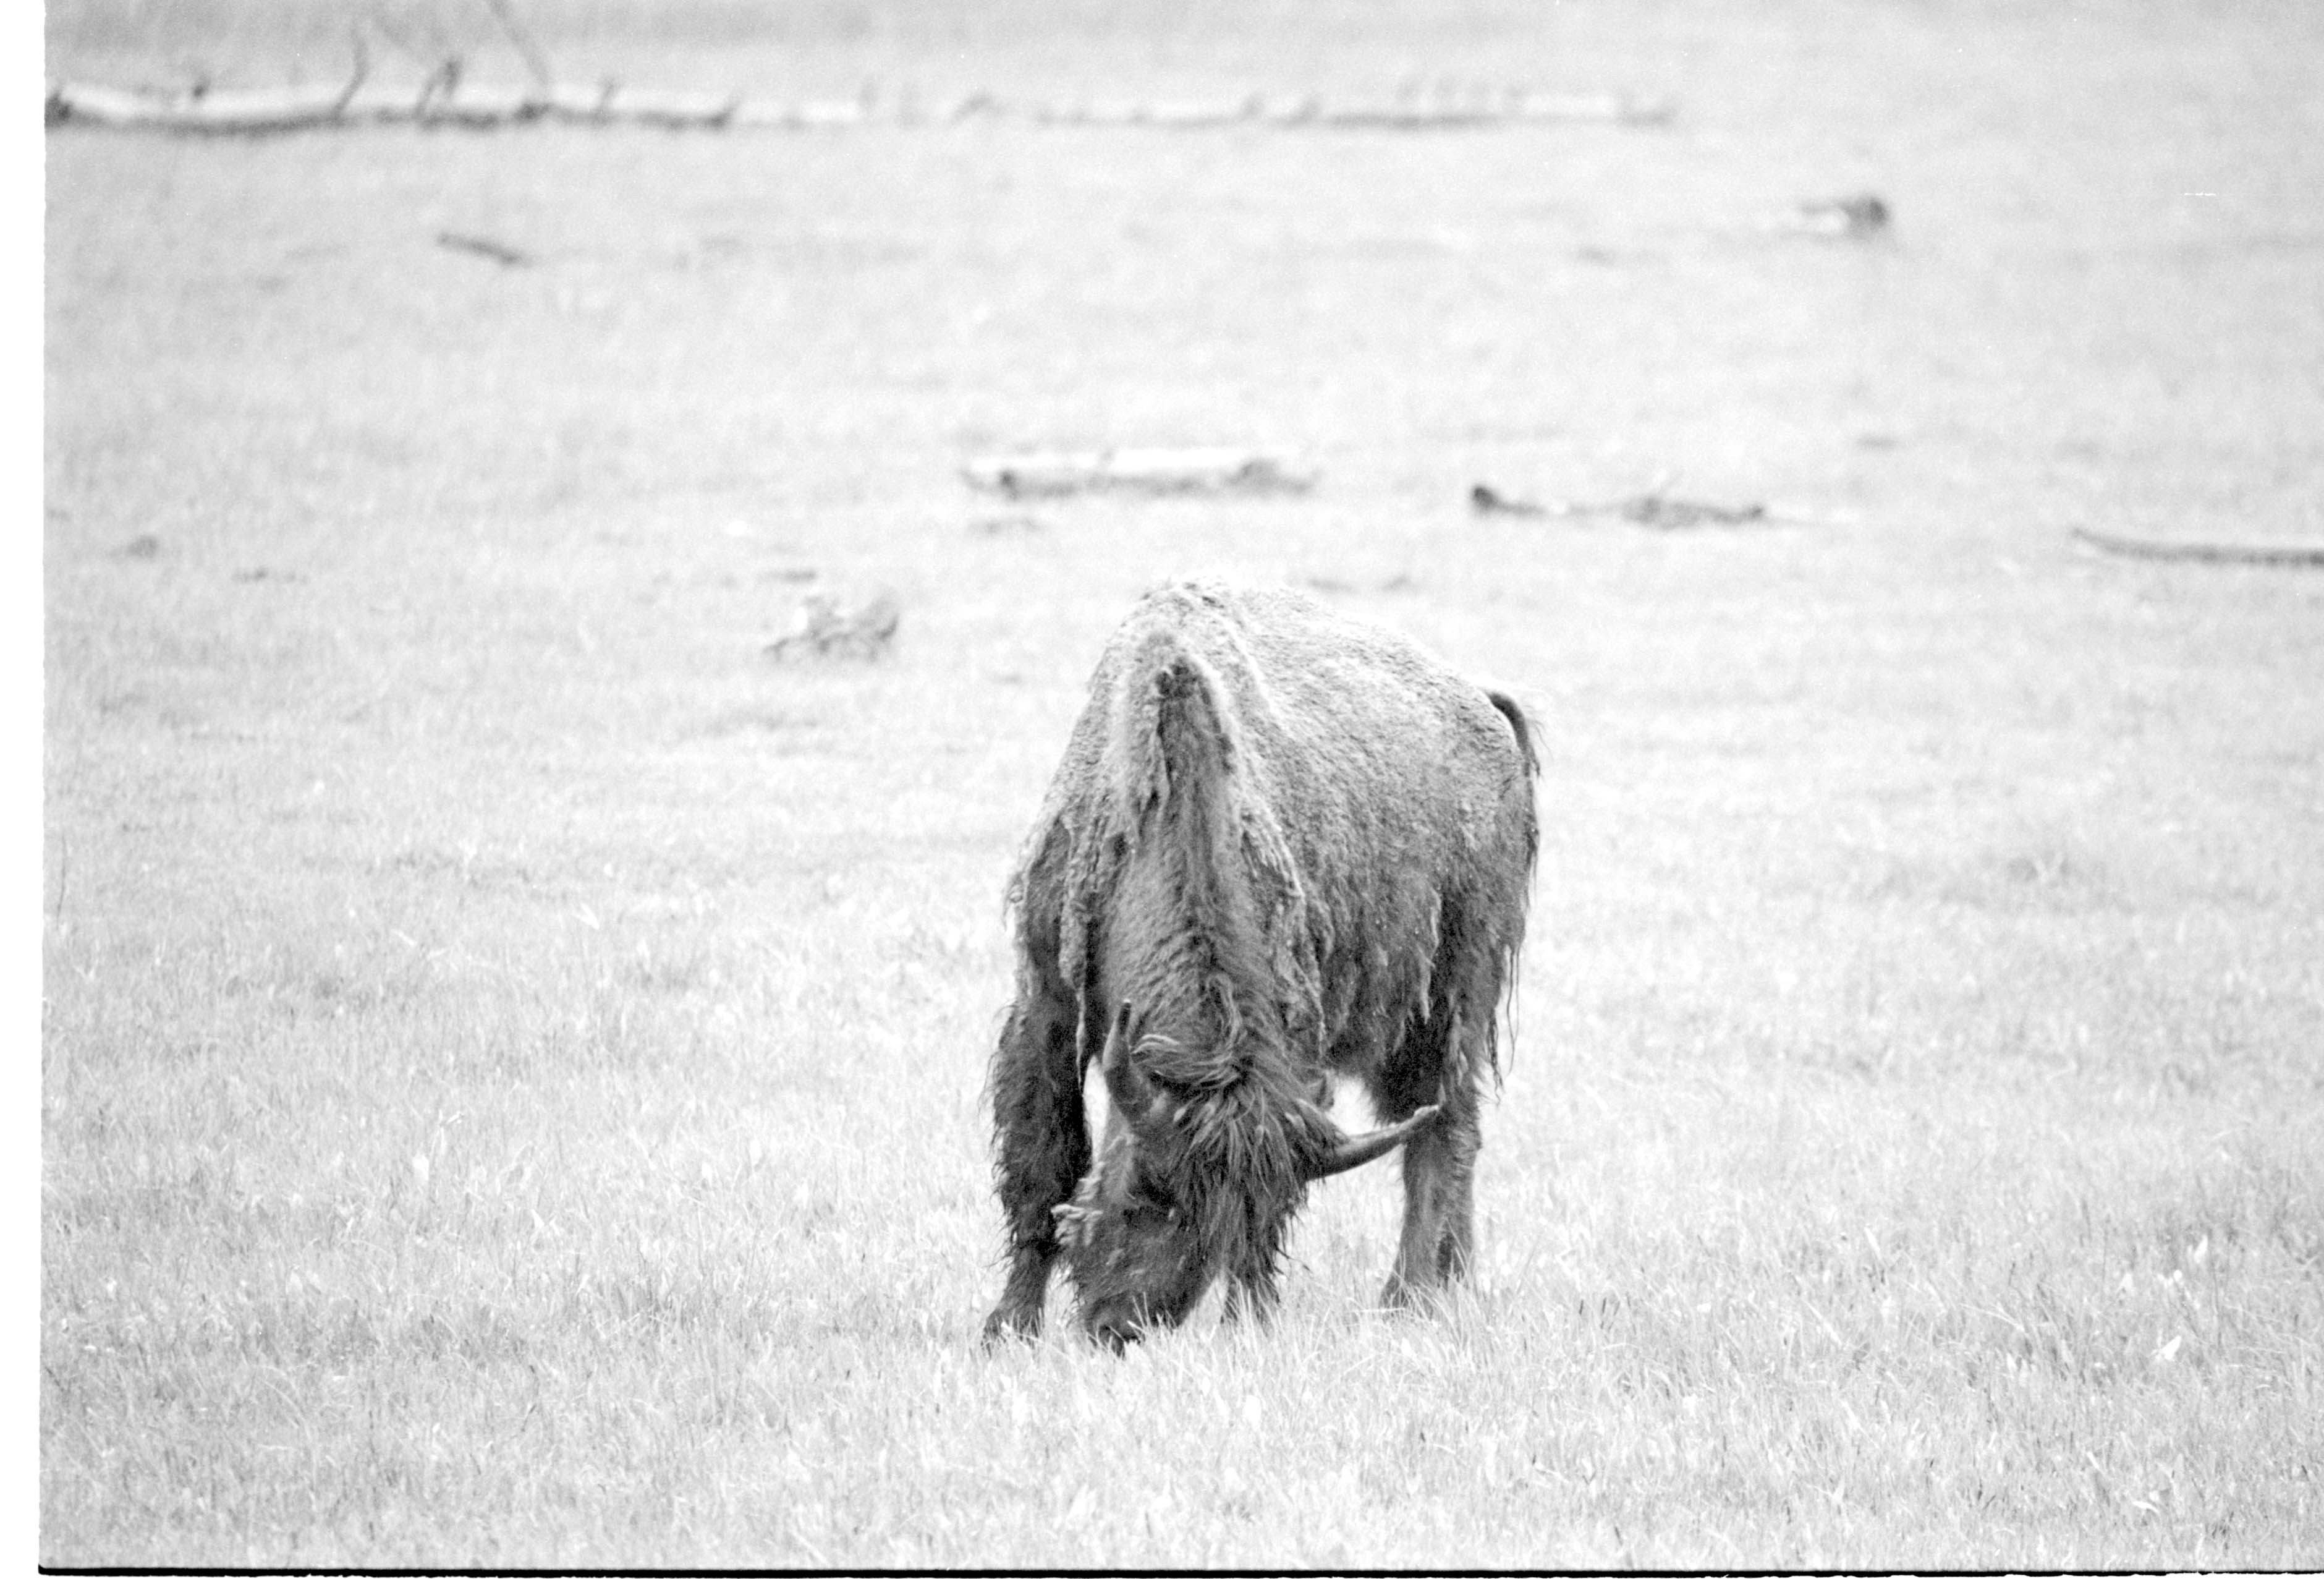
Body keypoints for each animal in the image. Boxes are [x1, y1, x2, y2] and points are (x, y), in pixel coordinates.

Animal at [982, 581, 1538, 1348]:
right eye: (1146, 1186)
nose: (1120, 1325)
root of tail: (1486, 711)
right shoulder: (1046, 1002)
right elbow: (1042, 1160)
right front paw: (1007, 1327)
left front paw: (1249, 1317)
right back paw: (1449, 1283)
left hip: (1449, 1003)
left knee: (1443, 1135)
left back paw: (1409, 1297)